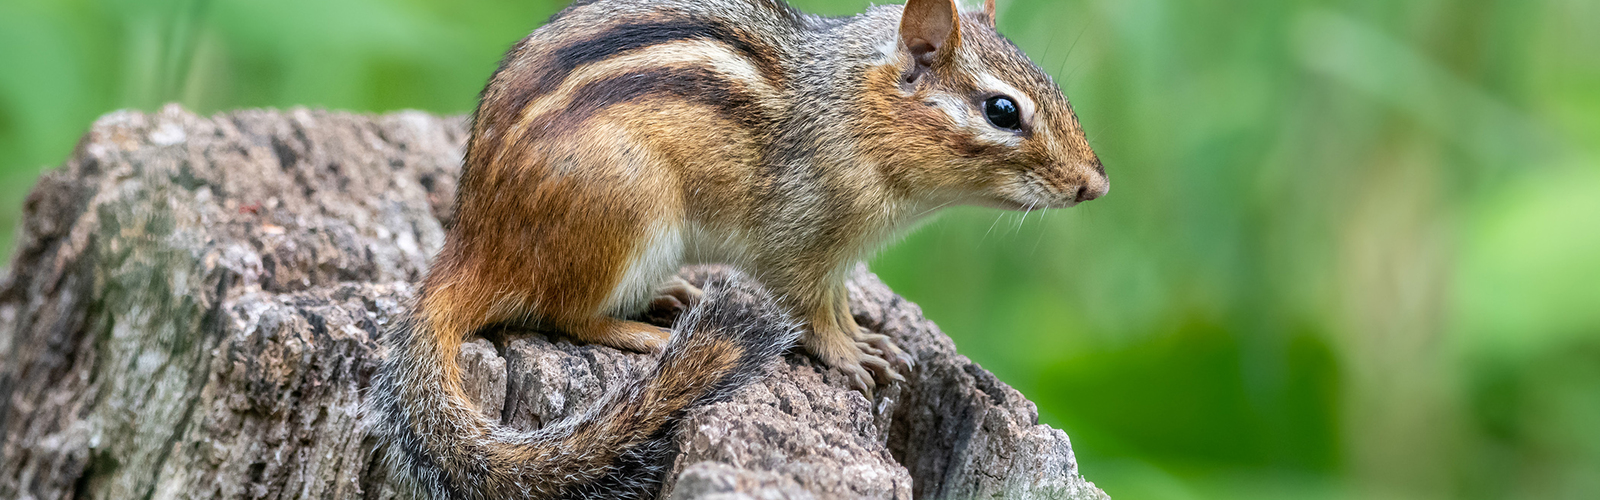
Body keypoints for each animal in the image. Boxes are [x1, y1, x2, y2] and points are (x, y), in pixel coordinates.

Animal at [367, 0, 1108, 498]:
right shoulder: (798, 243)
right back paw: (642, 333)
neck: (848, 110)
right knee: (565, 315)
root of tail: (469, 247)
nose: (1096, 184)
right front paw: (849, 356)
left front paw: (869, 340)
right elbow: (810, 313)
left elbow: (838, 305)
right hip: (624, 215)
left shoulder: (837, 260)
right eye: (1002, 111)